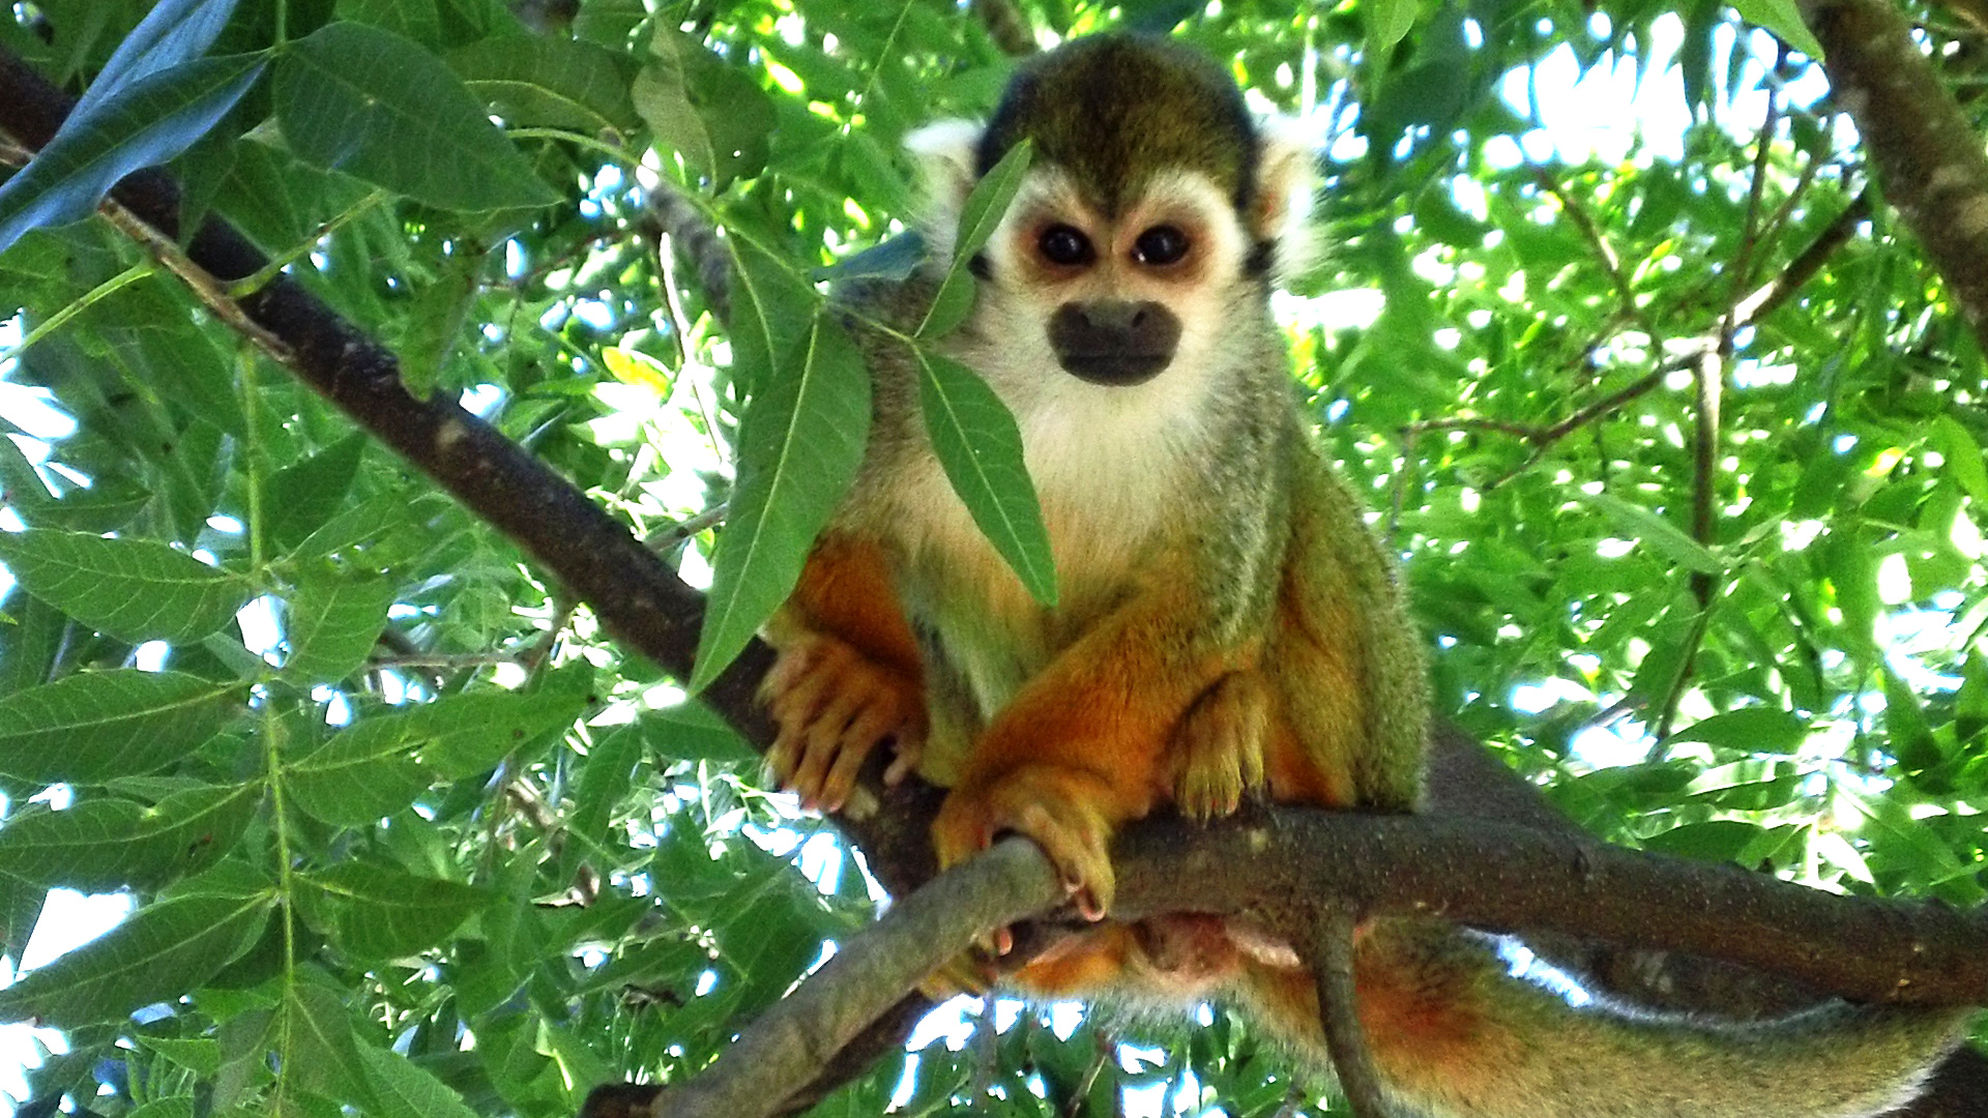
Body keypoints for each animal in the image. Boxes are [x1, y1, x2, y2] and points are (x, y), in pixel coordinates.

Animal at [758, 33, 1975, 1117]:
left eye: (1159, 250)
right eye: (1062, 247)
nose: (1113, 317)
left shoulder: (1248, 391)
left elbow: (1201, 607)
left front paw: (1012, 790)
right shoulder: (901, 333)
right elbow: (808, 510)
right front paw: (865, 684)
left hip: (1372, 755)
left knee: (1299, 497)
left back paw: (1235, 748)